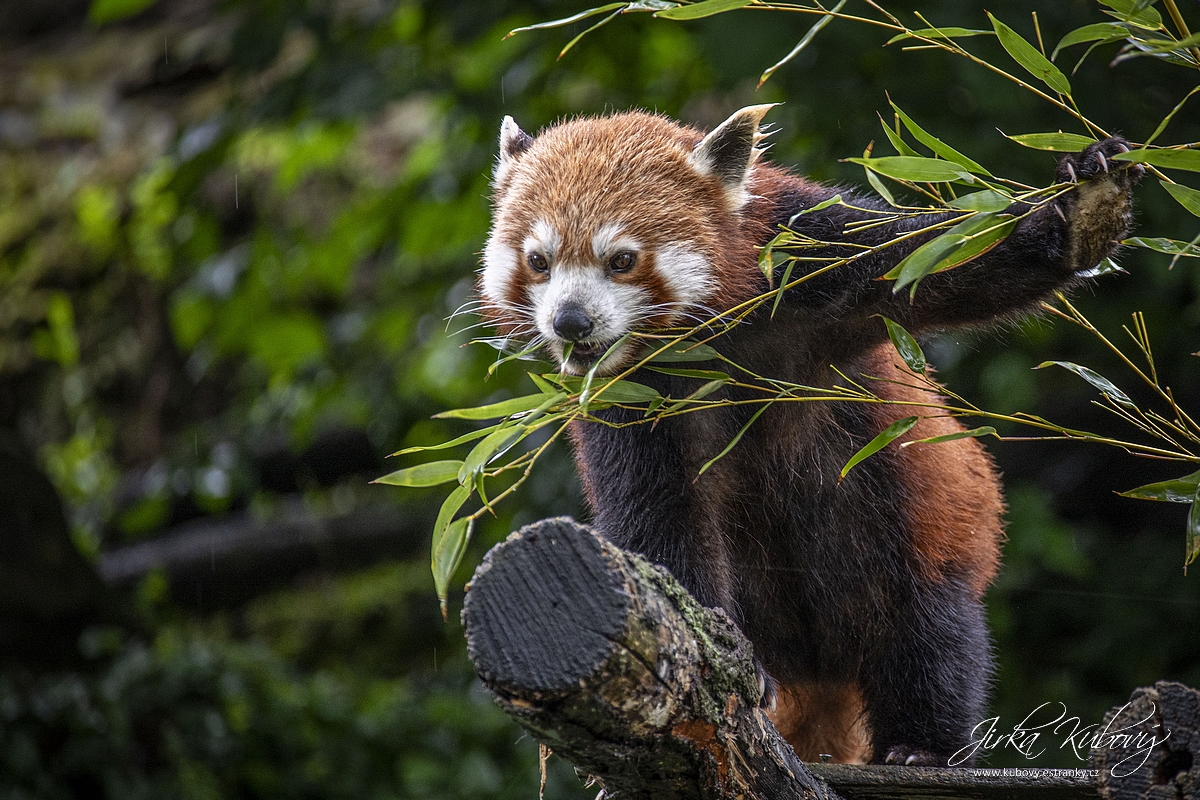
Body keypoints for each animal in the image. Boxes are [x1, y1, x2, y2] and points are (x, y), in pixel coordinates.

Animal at [475, 103, 1132, 767]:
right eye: (539, 261)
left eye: (621, 260)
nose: (571, 322)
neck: (707, 342)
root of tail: (819, 671)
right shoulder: (631, 401)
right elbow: (659, 518)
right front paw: (709, 644)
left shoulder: (809, 261)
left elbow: (943, 262)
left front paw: (1075, 215)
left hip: (924, 536)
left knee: (930, 633)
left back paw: (921, 746)